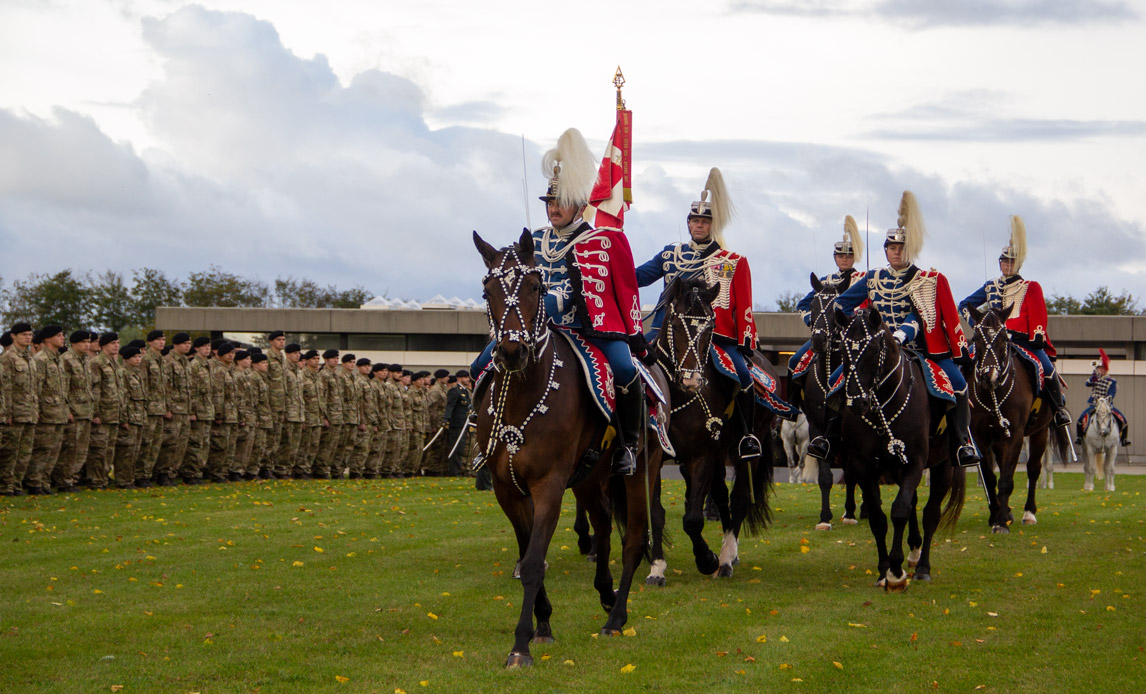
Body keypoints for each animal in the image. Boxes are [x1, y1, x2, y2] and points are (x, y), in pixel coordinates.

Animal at [474, 230, 669, 668]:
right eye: (488, 290)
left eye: (535, 287)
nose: (511, 352)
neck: (523, 397)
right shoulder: (506, 489)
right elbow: (529, 553)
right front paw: (544, 623)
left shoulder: (548, 485)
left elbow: (533, 562)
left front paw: (521, 645)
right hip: (588, 479)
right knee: (604, 527)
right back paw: (606, 594)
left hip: (640, 471)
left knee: (633, 540)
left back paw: (616, 618)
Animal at [655, 277, 779, 581]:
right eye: (676, 324)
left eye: (710, 328)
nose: (692, 381)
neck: (676, 395)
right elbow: (656, 512)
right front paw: (657, 567)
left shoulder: (702, 456)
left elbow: (692, 519)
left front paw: (707, 559)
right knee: (722, 498)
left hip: (749, 446)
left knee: (740, 498)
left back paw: (726, 558)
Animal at [834, 309, 967, 590]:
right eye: (841, 348)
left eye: (874, 349)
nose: (857, 403)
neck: (884, 402)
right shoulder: (864, 466)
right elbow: (878, 517)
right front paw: (883, 570)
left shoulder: (914, 462)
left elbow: (900, 511)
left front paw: (895, 571)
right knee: (915, 503)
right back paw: (914, 551)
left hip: (943, 465)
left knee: (930, 513)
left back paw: (923, 566)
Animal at [967, 309, 1072, 533]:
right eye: (976, 338)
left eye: (1004, 339)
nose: (990, 376)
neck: (994, 393)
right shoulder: (981, 437)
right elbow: (990, 477)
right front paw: (996, 515)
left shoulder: (1015, 434)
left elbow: (1007, 479)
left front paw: (1000, 523)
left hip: (1040, 432)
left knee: (1033, 469)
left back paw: (1029, 513)